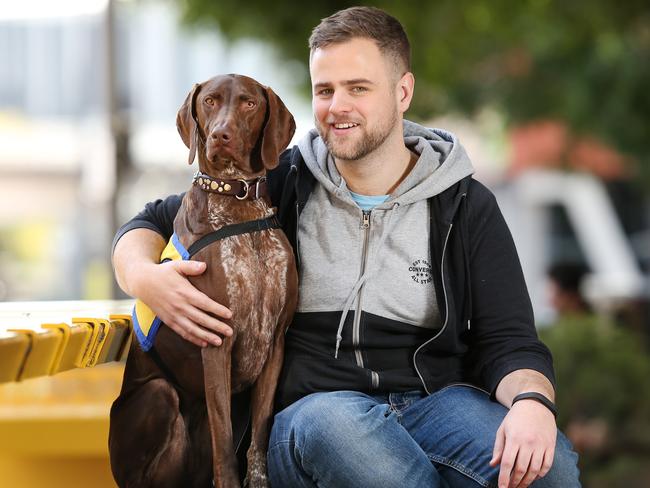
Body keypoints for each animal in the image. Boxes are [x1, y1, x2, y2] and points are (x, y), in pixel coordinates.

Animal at [108, 75, 296, 488]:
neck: (238, 202)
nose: (220, 135)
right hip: (160, 396)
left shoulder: (275, 343)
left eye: (248, 103)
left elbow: (259, 435)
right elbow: (225, 445)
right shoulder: (216, 342)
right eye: (209, 101)